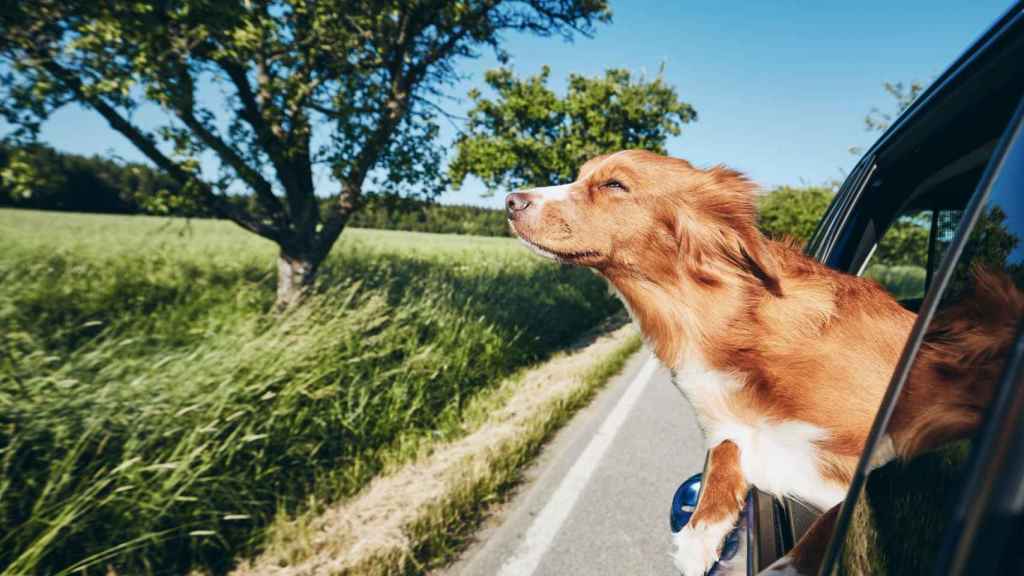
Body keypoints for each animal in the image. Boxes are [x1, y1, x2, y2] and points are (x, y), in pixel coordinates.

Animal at [501, 150, 1015, 569]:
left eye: (614, 185)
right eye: (582, 175)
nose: (511, 200)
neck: (720, 318)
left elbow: (835, 518)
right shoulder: (731, 425)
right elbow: (728, 449)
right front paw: (701, 533)